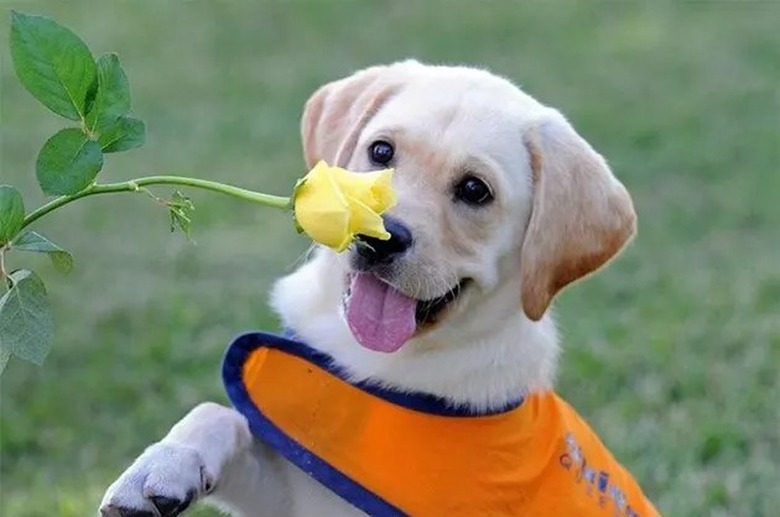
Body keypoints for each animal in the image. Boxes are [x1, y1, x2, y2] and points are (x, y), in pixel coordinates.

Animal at [100, 61, 656, 516]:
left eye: (475, 190)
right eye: (381, 151)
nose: (379, 238)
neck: (376, 364)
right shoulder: (296, 490)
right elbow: (218, 413)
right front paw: (163, 465)